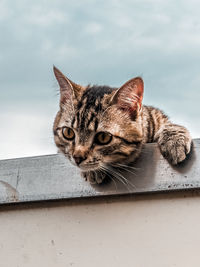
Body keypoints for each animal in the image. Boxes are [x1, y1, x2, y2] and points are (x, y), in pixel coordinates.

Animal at [52, 66, 192, 185]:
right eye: (68, 133)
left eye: (103, 137)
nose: (77, 158)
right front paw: (93, 171)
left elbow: (170, 126)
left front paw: (174, 140)